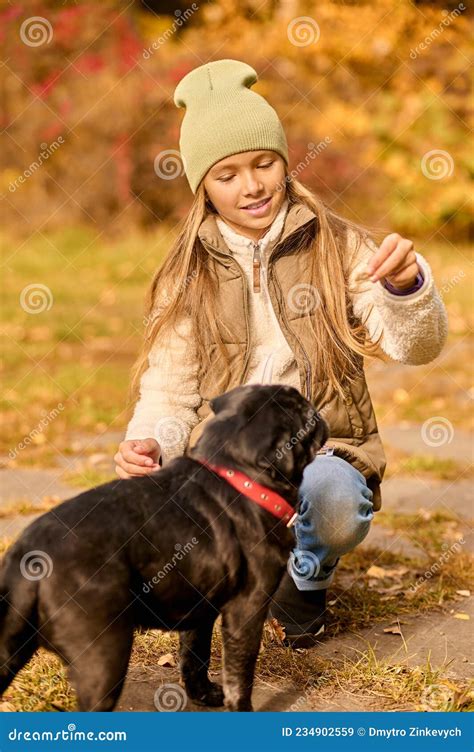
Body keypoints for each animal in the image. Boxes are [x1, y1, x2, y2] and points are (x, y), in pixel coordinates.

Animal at [0, 388, 328, 712]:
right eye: (301, 412)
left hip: (10, 646)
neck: (237, 474)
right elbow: (240, 676)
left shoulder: (201, 609)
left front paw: (204, 694)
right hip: (104, 656)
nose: (316, 410)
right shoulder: (246, 609)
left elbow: (195, 655)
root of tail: (29, 560)